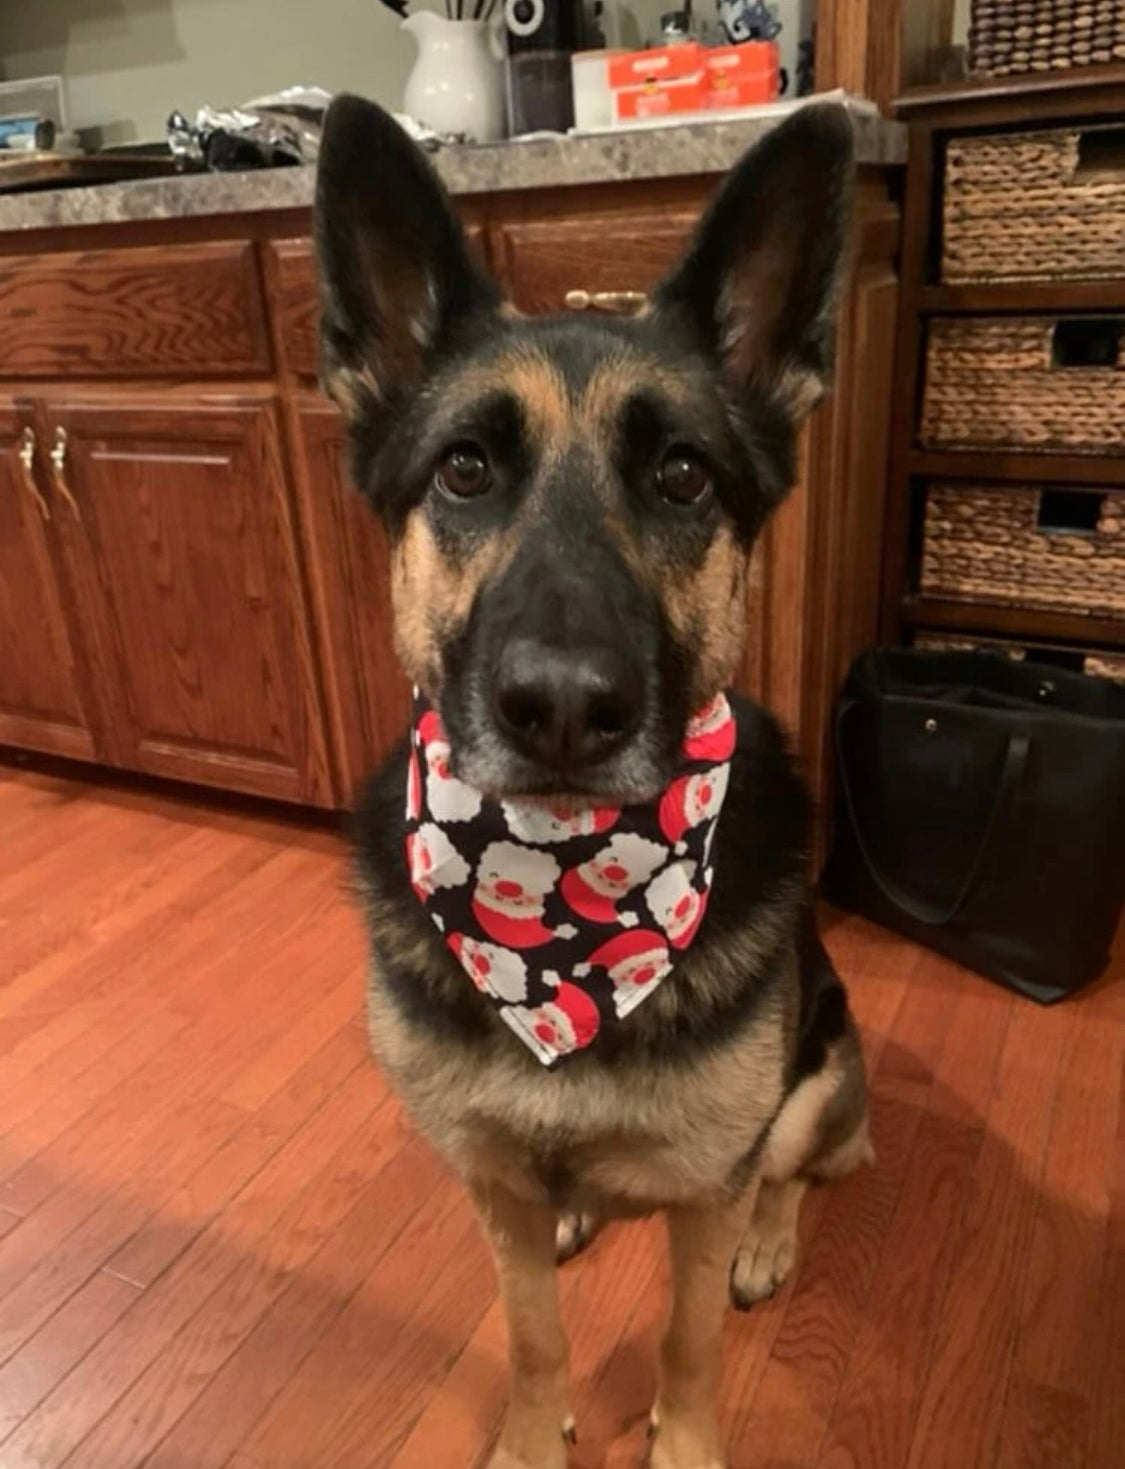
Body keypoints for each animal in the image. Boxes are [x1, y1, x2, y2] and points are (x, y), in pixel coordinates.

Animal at [314, 97, 869, 1463]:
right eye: (464, 469)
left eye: (683, 476)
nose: (563, 706)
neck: (556, 901)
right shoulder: (490, 1182)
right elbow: (530, 1332)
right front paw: (530, 1434)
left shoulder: (706, 1185)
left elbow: (689, 1339)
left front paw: (683, 1441)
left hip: (823, 1064)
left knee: (793, 1162)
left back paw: (773, 1239)